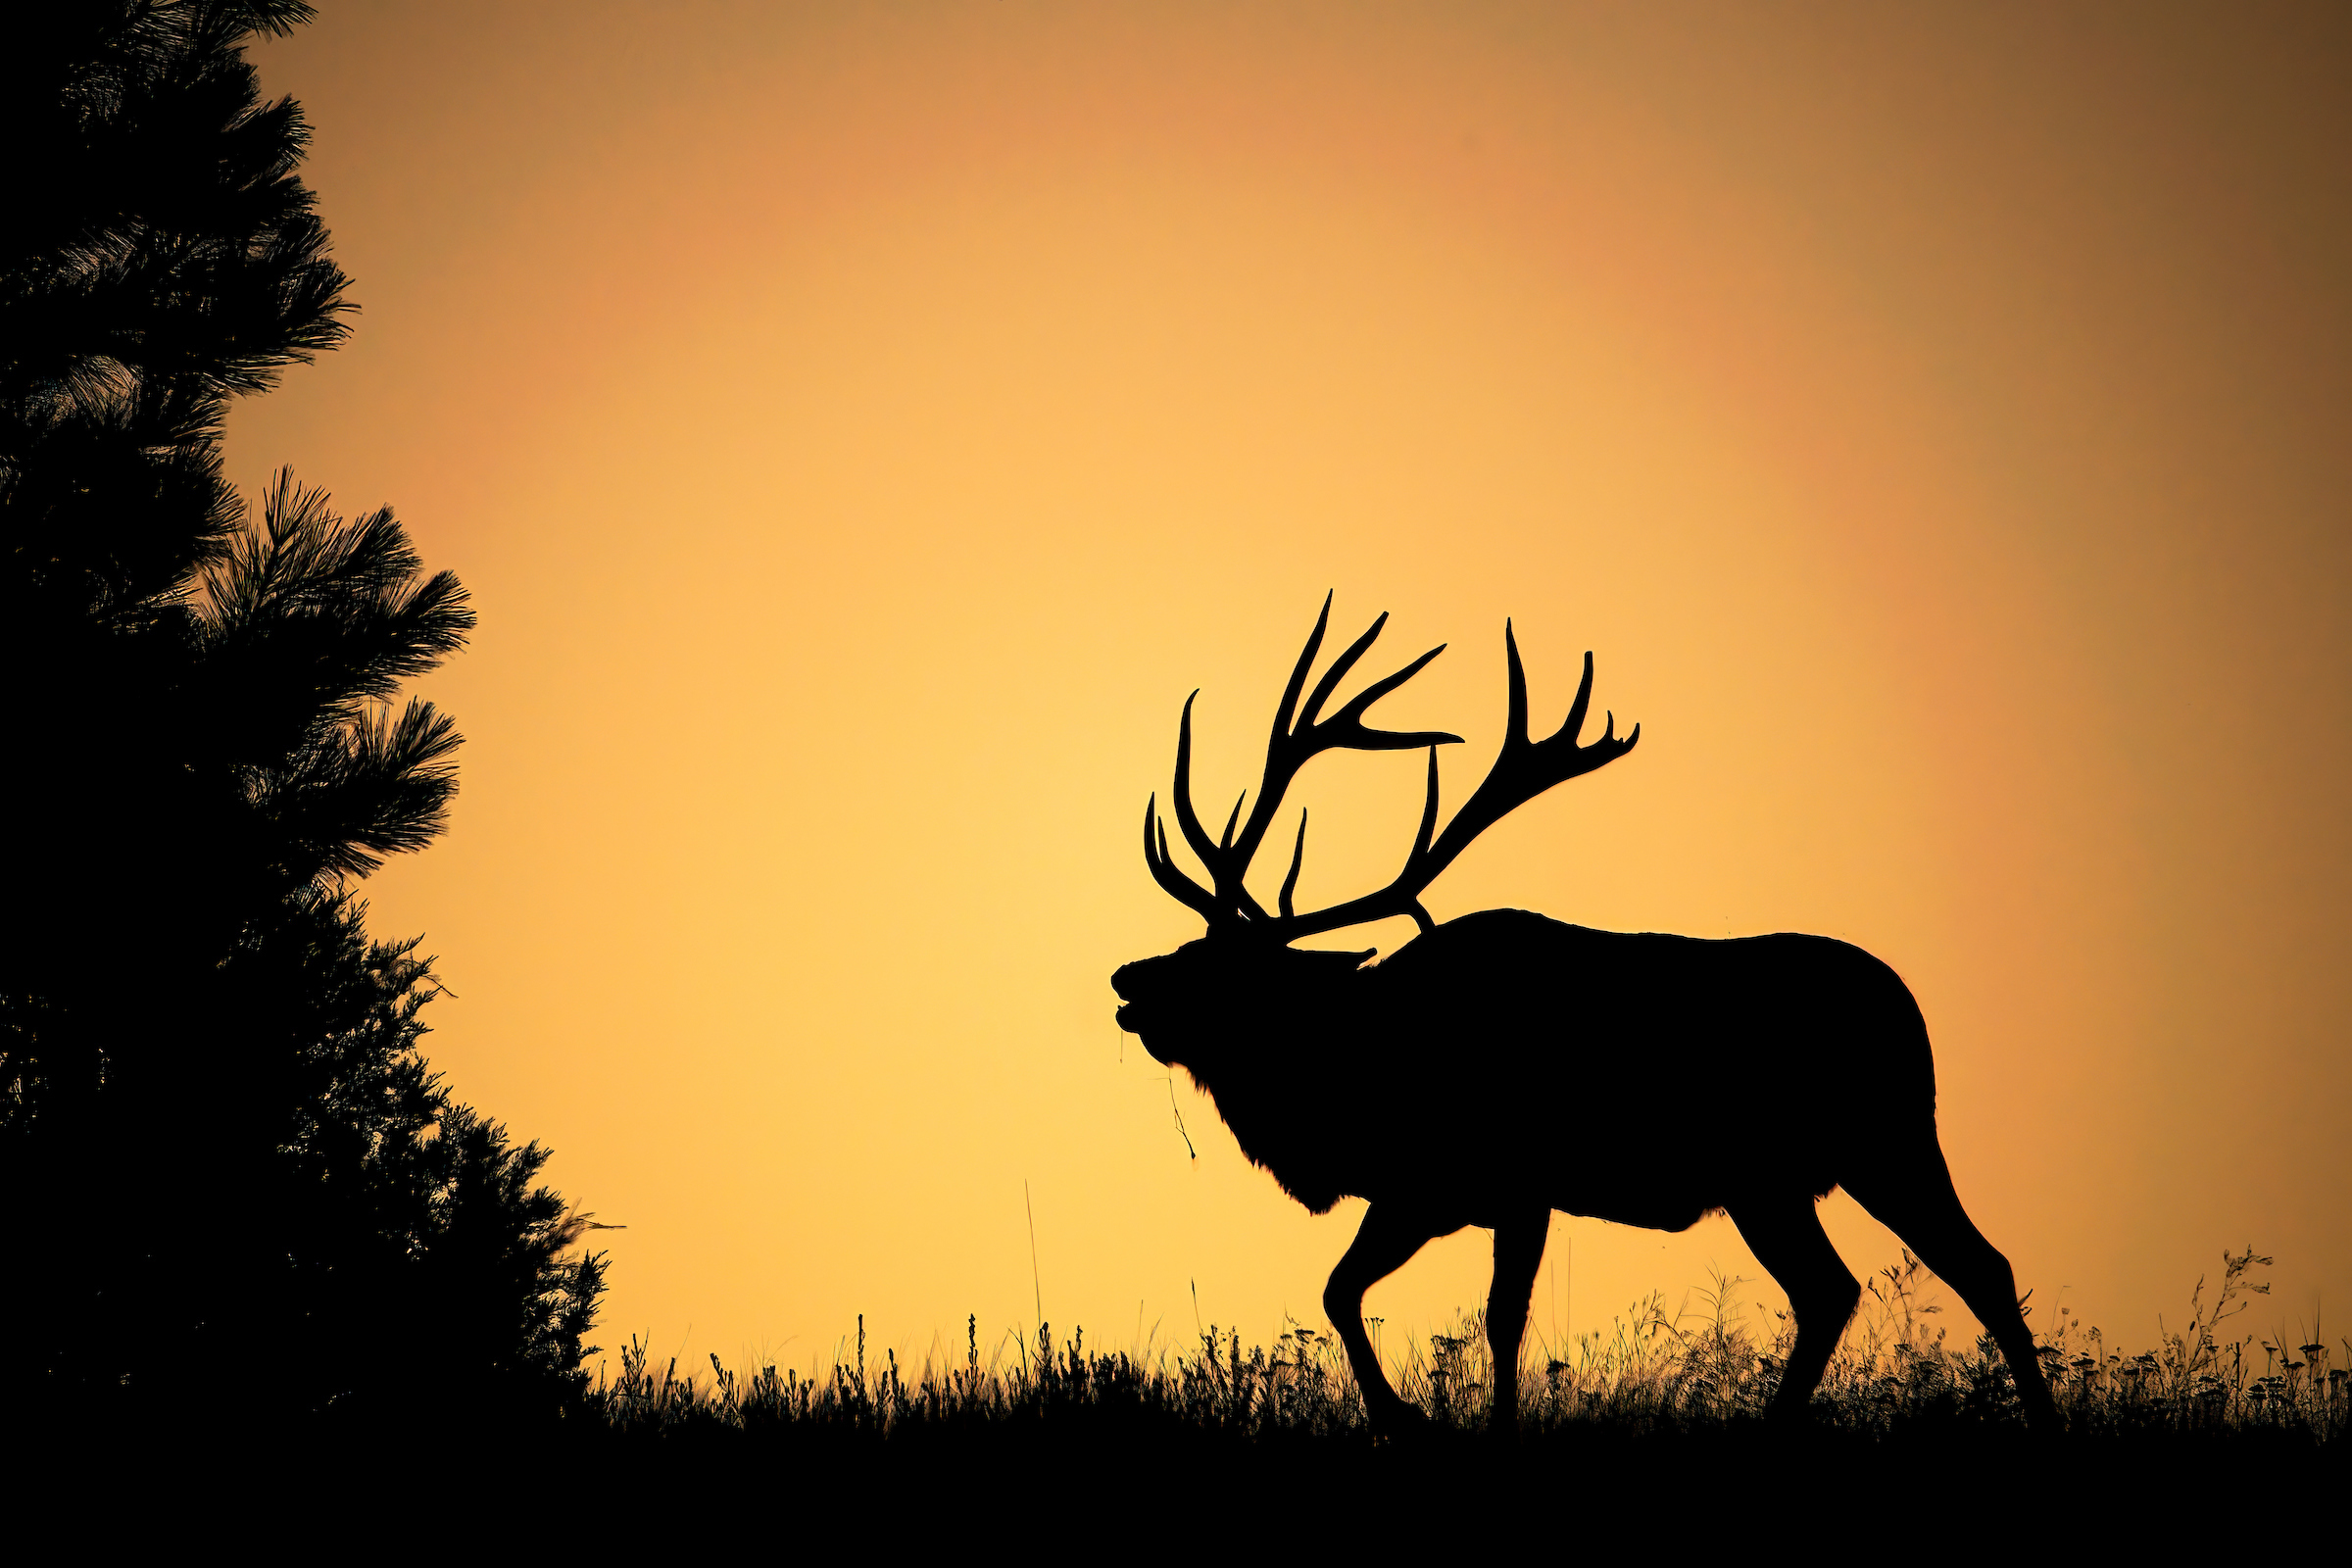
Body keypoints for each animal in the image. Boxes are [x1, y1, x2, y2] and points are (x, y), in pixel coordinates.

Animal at [1110, 596, 2059, 1437]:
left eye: (1224, 969)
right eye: (1191, 945)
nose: (1126, 980)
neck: (1356, 1085)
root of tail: (1911, 1010)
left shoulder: (1514, 1181)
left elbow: (1494, 1318)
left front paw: (1446, 1424)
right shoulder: (1423, 1191)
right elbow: (1343, 1289)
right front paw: (1409, 1417)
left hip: (1881, 1140)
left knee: (1953, 1268)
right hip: (1783, 1178)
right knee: (1861, 1283)